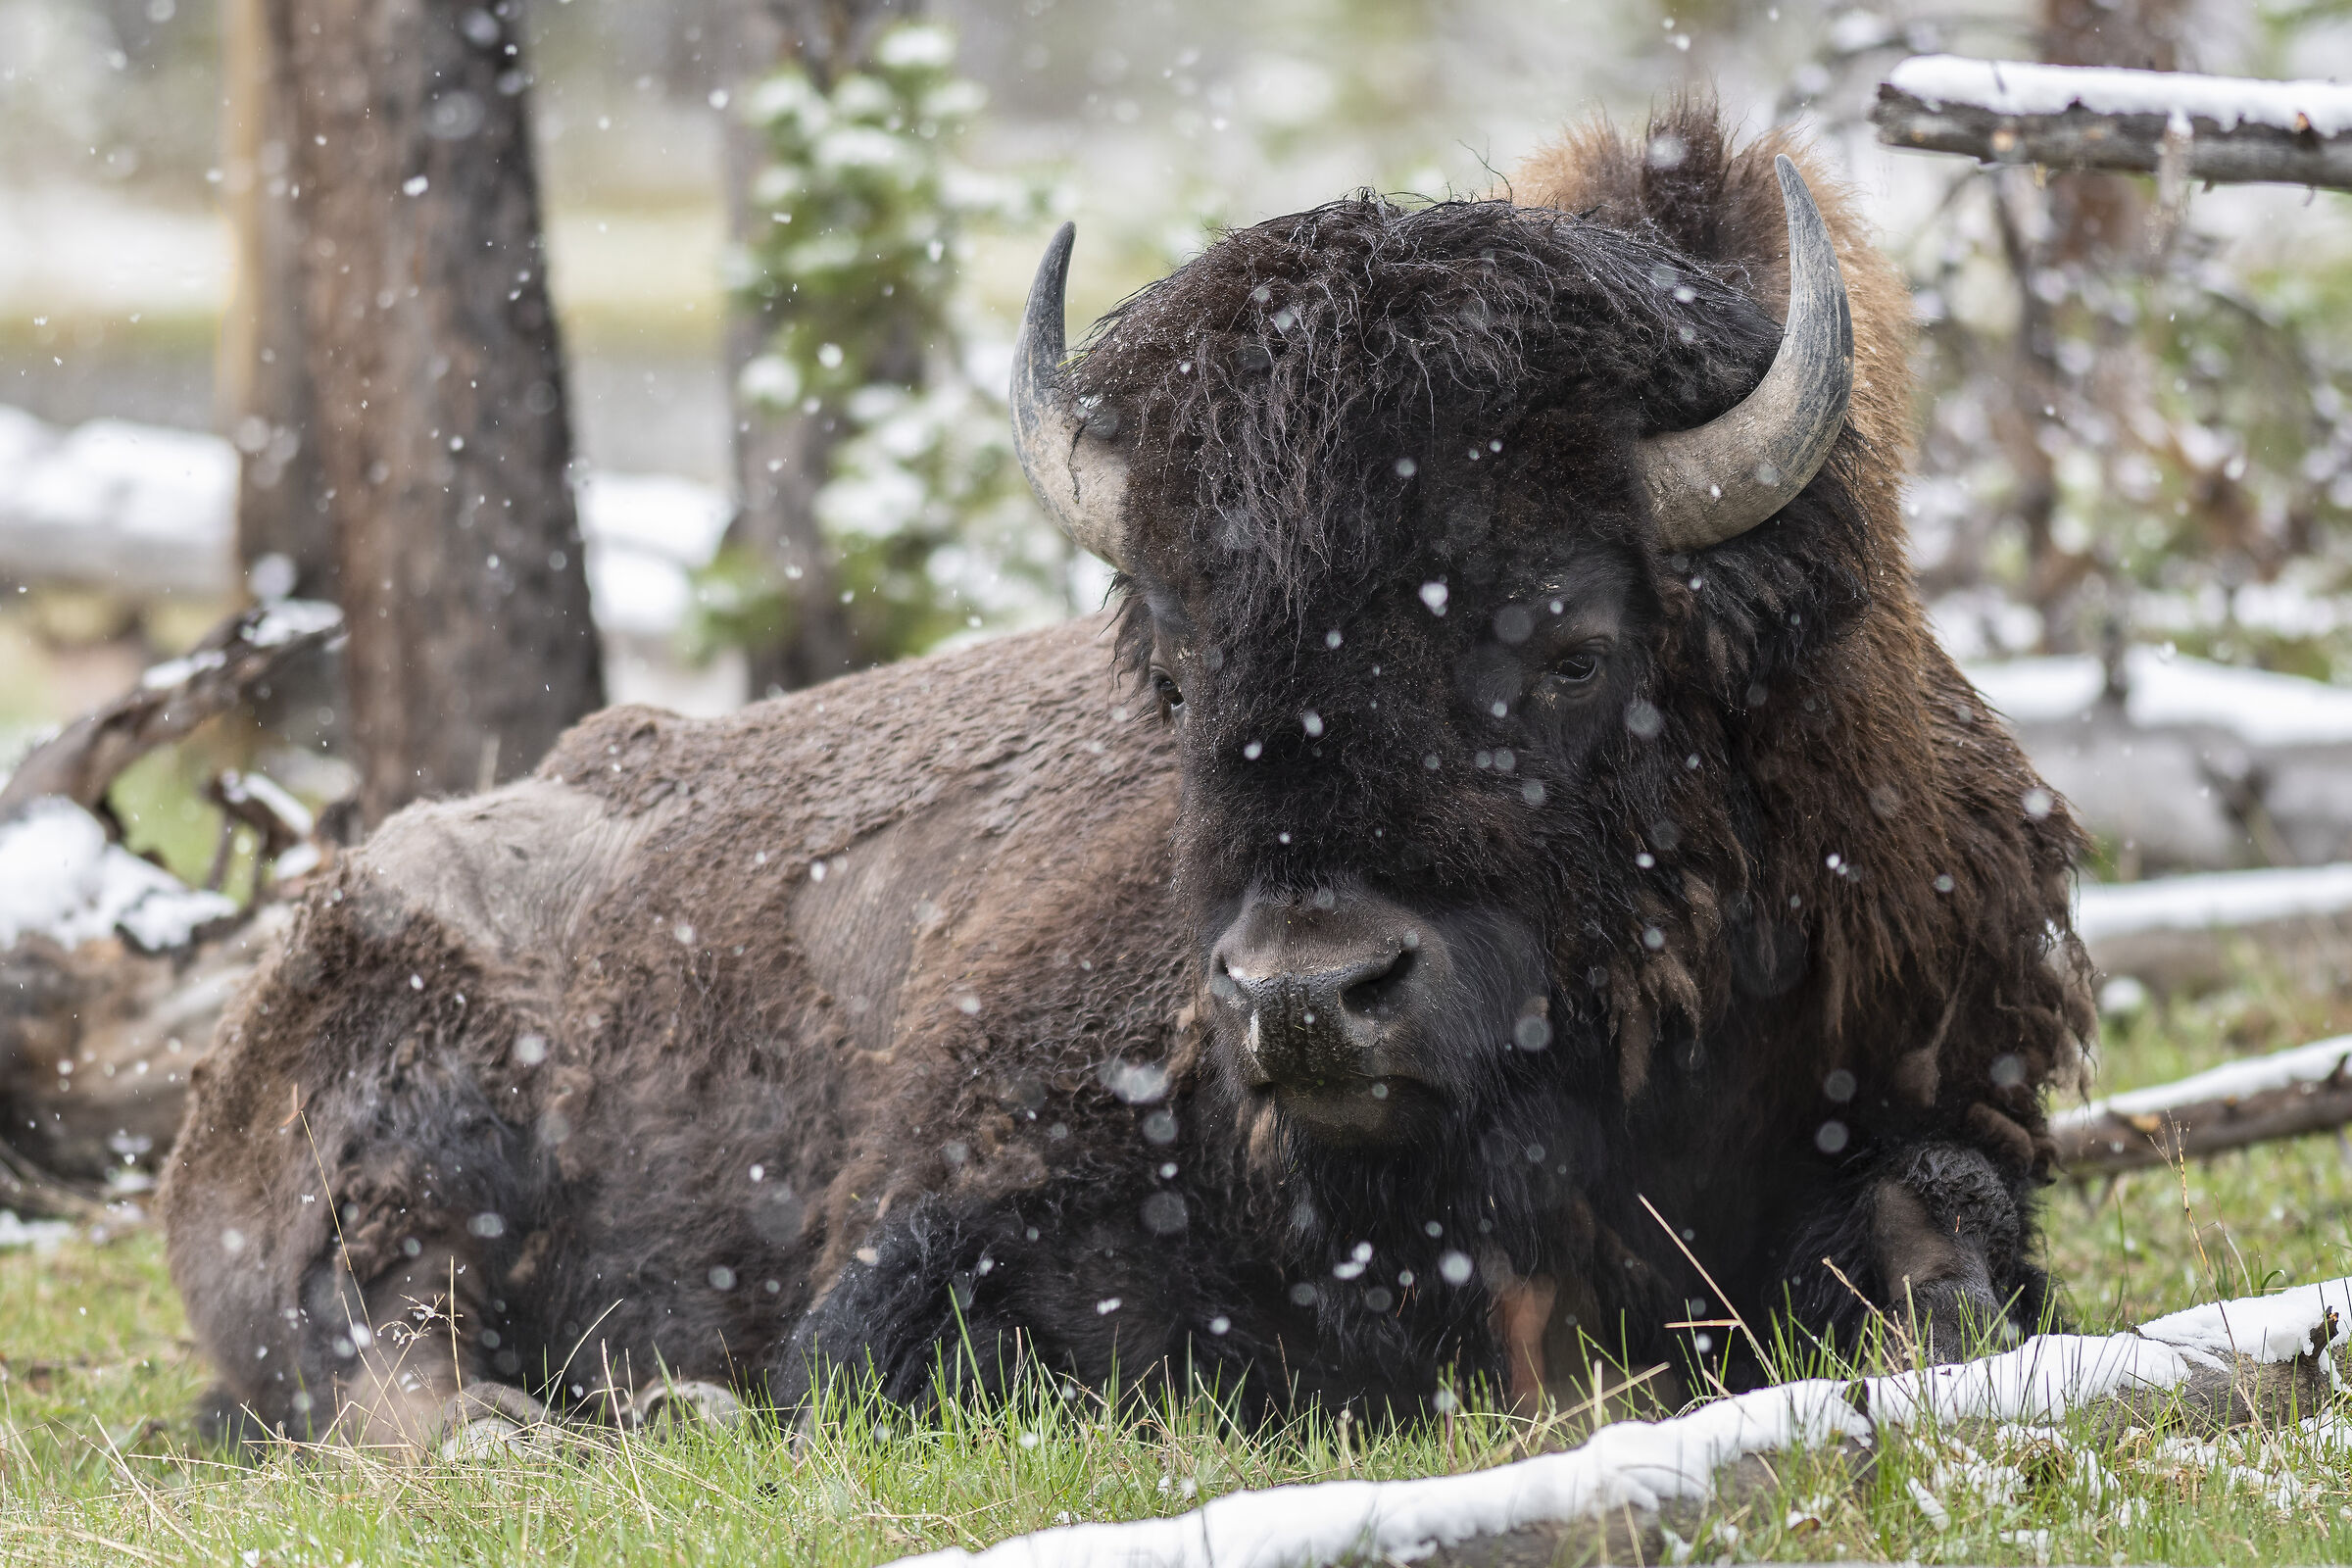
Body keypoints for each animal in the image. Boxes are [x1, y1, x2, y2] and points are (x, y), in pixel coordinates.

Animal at [162, 105, 2092, 1449]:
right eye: (1178, 652)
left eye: (1566, 640)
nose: (1310, 992)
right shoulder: (943, 1228)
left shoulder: (1941, 1096)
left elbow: (1942, 1249)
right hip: (423, 1145)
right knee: (390, 1349)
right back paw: (576, 1425)